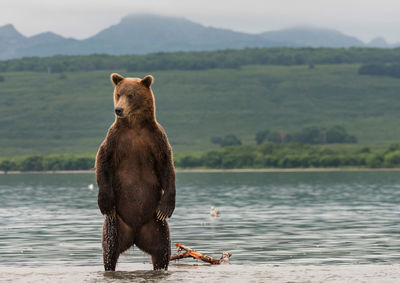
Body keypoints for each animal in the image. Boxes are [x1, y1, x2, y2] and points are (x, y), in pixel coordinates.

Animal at [96, 74, 176, 272]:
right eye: (118, 94)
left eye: (131, 95)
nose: (118, 109)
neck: (135, 126)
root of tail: (135, 235)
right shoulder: (115, 139)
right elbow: (102, 161)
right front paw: (105, 202)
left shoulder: (156, 140)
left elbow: (167, 168)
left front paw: (166, 207)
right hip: (116, 225)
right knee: (109, 250)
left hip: (156, 226)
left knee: (162, 251)